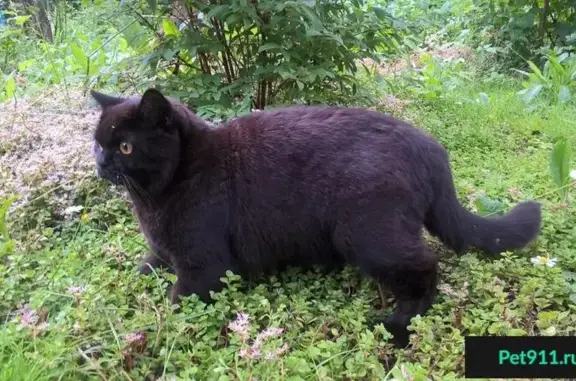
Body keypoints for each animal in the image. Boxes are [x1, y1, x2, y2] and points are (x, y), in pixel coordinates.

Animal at [89, 87, 540, 346]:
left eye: (126, 147)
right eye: (97, 143)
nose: (101, 163)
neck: (158, 193)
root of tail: (432, 150)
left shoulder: (204, 268)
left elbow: (172, 309)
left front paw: (132, 338)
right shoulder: (161, 253)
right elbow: (142, 270)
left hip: (369, 237)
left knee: (427, 266)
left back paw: (397, 327)